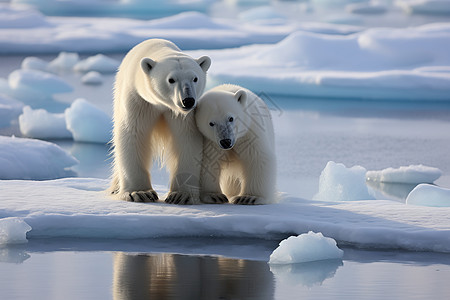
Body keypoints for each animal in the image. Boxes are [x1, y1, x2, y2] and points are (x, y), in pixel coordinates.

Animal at [110, 38, 213, 204]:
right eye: (171, 79)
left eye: (195, 78)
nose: (188, 101)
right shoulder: (139, 101)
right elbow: (133, 134)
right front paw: (139, 192)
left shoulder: (182, 115)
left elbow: (187, 139)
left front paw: (181, 195)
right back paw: (115, 188)